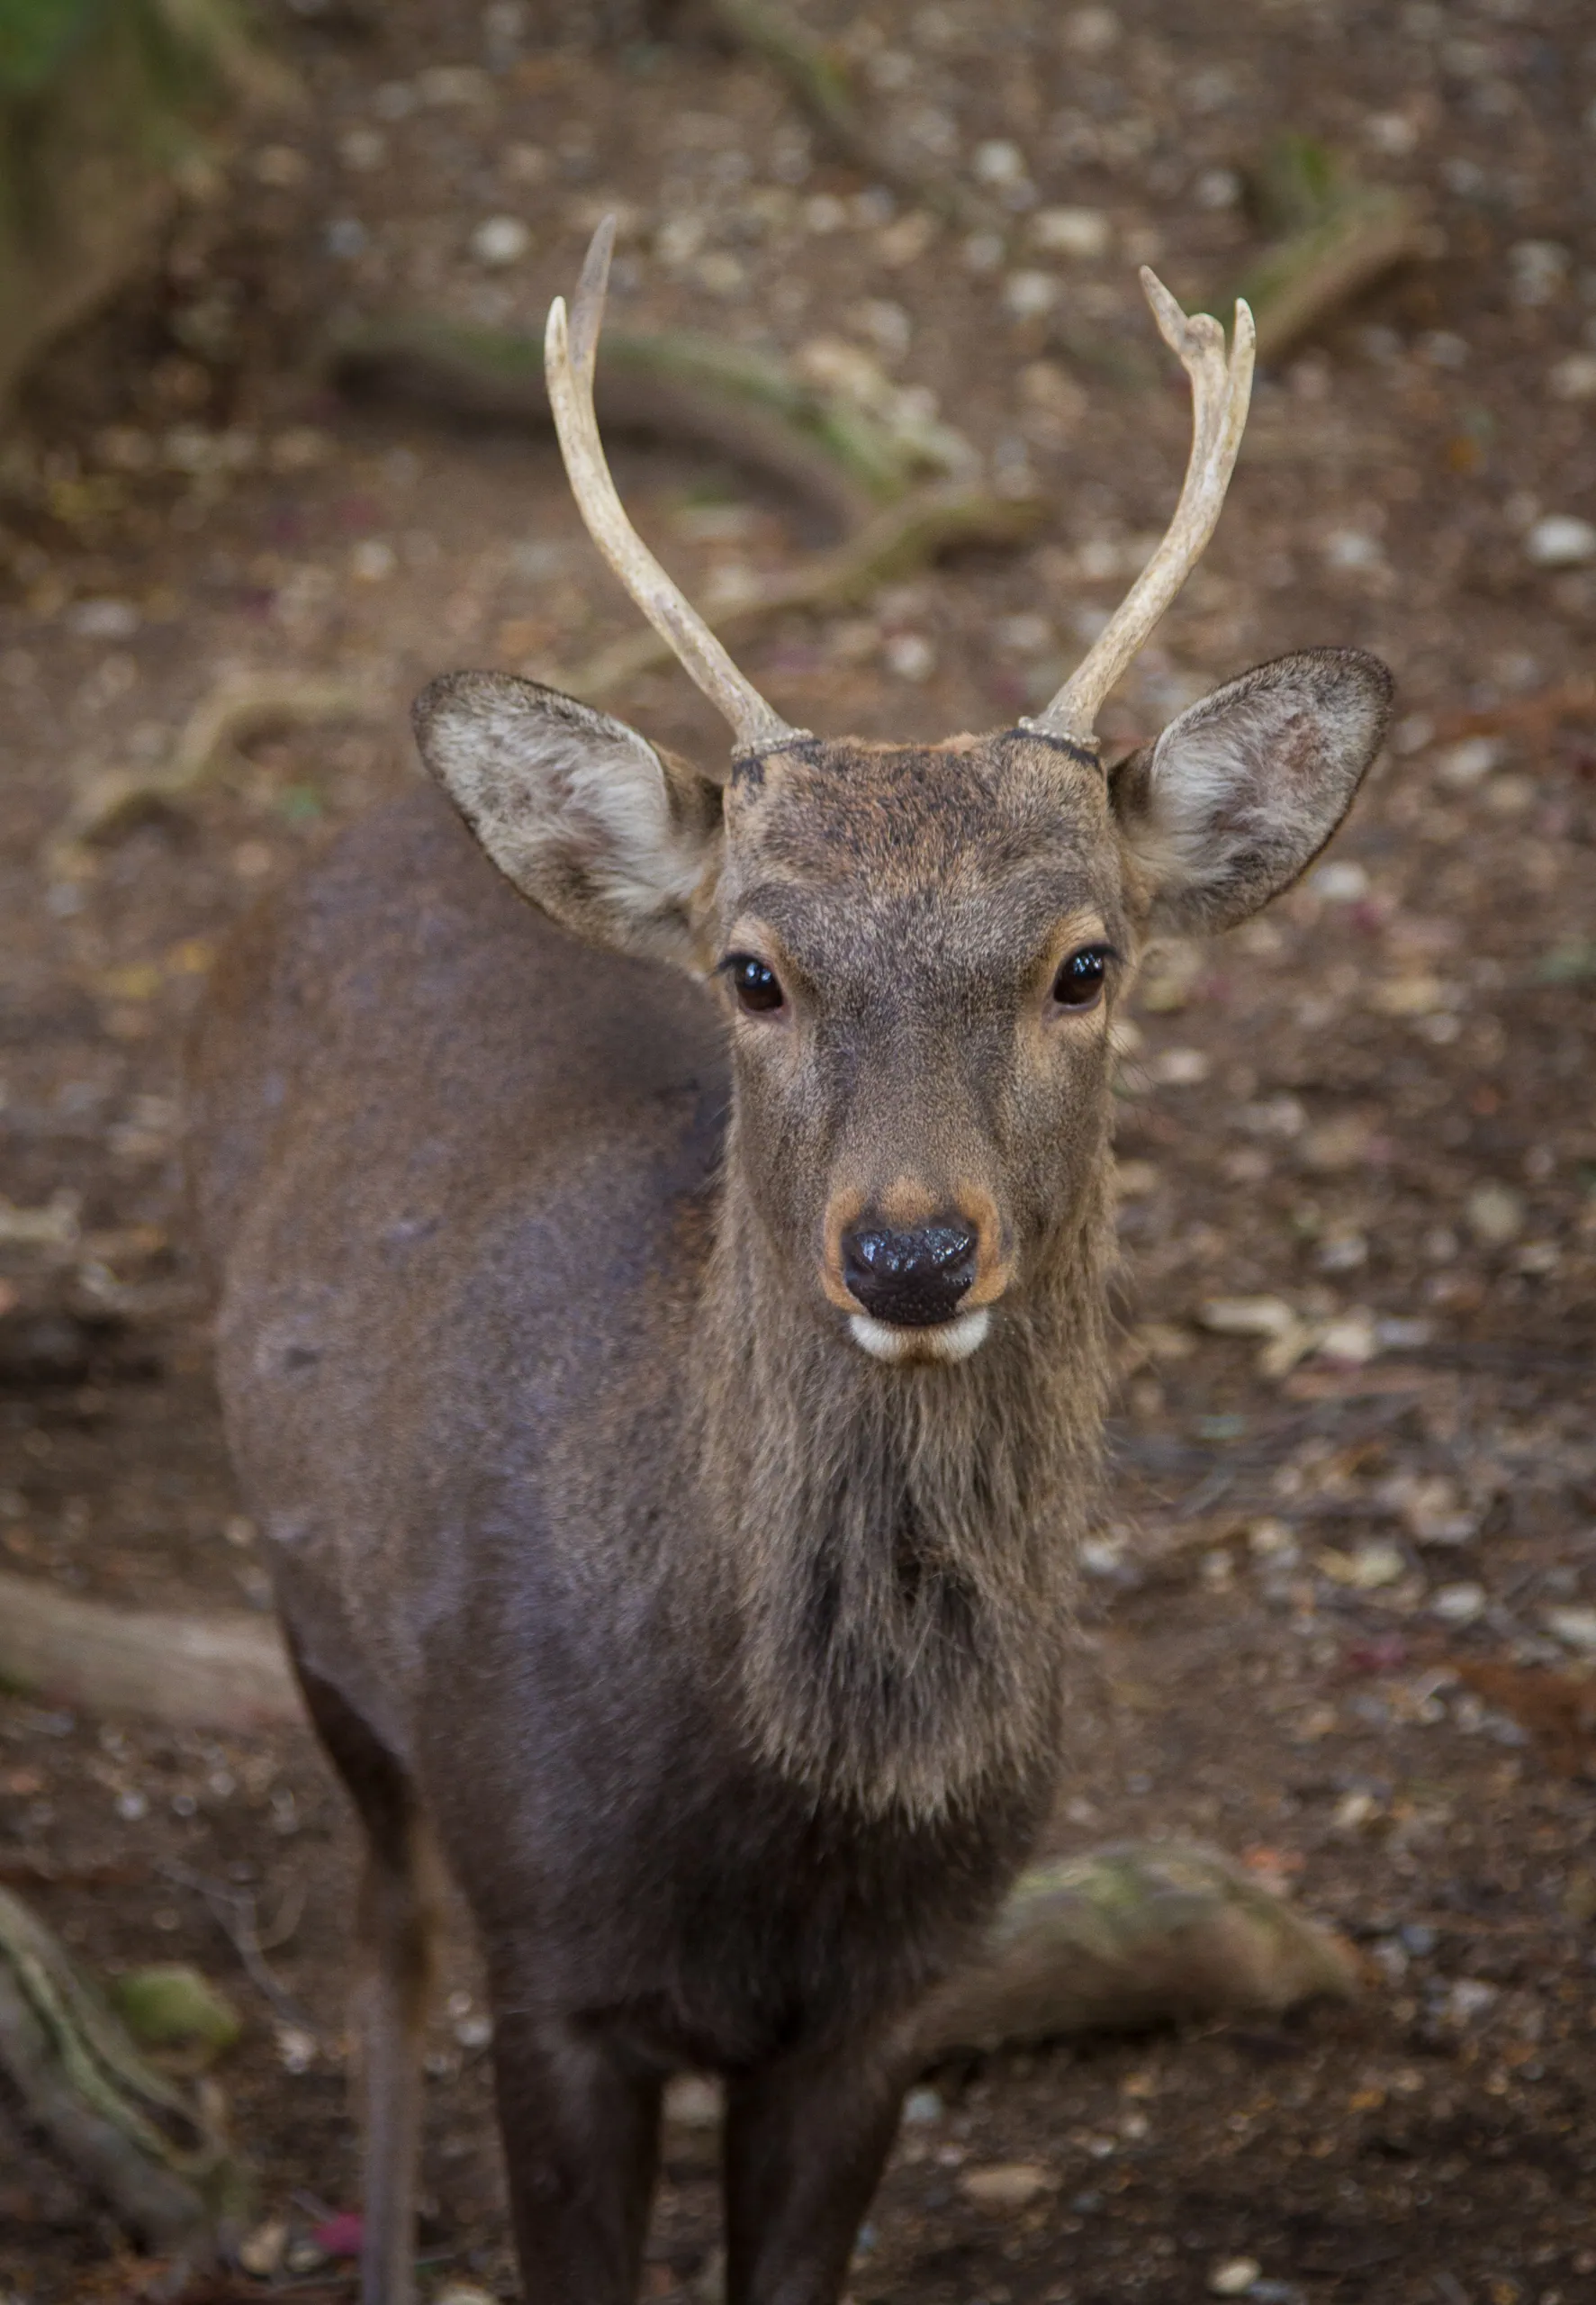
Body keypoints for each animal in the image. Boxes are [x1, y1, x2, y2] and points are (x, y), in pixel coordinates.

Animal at [187, 218, 1391, 2305]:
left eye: (1086, 960)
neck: (791, 1813)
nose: (909, 1248)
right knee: (379, 1932)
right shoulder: (556, 1965)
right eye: (752, 969)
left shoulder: (889, 2006)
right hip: (313, 1610)